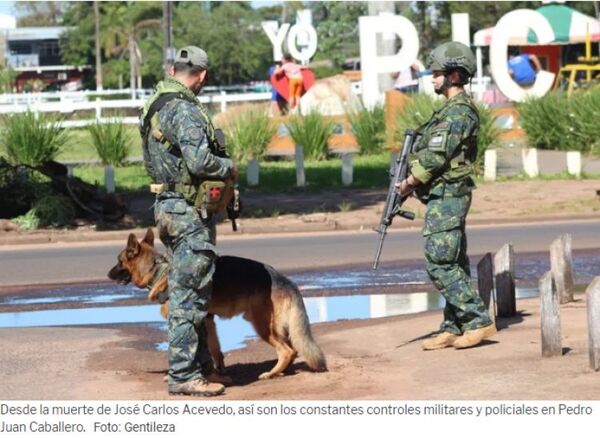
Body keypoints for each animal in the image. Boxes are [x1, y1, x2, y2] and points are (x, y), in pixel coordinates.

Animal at [106, 229, 324, 380]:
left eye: (119, 261)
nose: (107, 275)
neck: (157, 270)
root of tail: (284, 280)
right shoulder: (208, 321)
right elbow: (215, 350)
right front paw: (218, 372)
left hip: (262, 326)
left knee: (287, 351)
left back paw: (270, 373)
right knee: (293, 350)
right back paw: (280, 372)